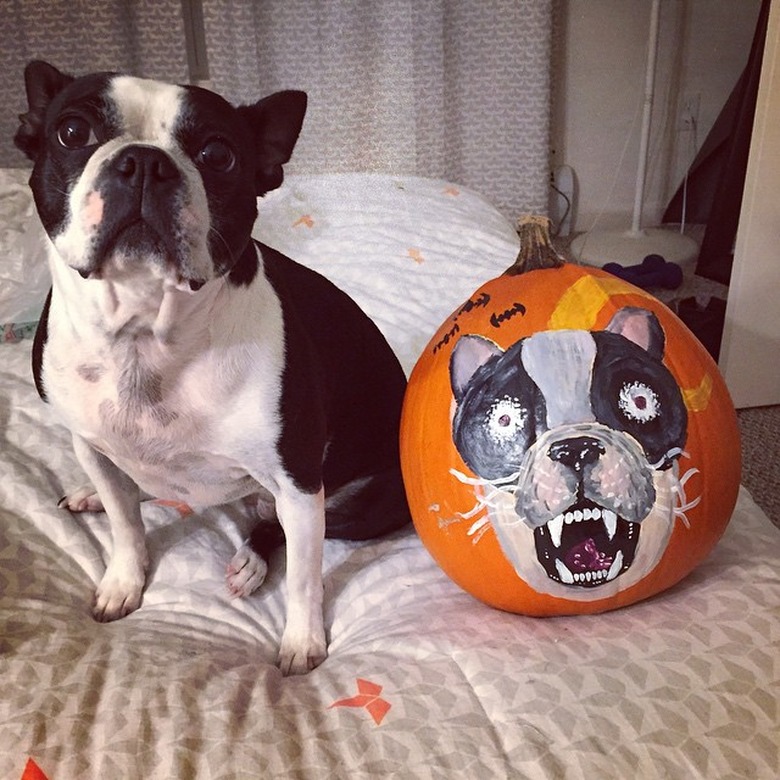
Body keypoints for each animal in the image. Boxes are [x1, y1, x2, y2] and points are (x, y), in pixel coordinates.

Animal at [15, 61, 412, 672]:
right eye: (72, 132)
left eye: (219, 155)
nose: (144, 162)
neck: (145, 334)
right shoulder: (88, 441)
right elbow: (126, 526)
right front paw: (123, 581)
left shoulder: (299, 480)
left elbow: (304, 575)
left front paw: (303, 641)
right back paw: (95, 495)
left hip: (372, 501)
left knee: (274, 526)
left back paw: (251, 558)